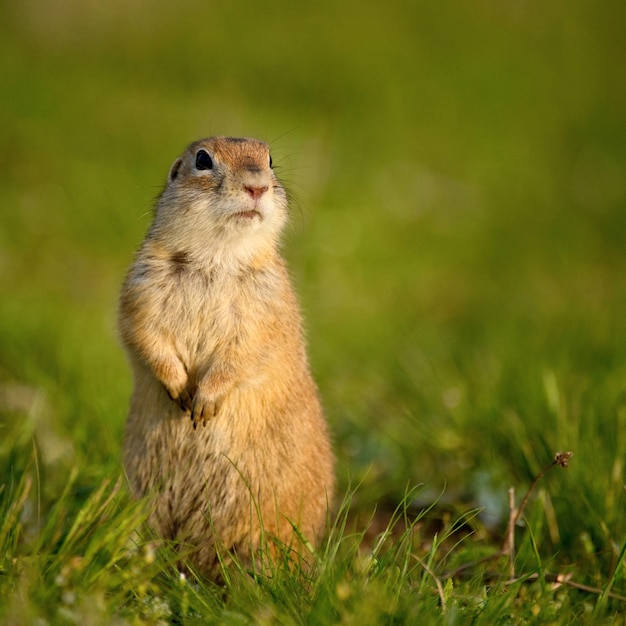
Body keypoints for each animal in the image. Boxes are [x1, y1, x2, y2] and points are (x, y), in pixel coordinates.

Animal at [117, 135, 332, 576]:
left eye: (269, 160)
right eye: (203, 160)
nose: (257, 186)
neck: (217, 257)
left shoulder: (268, 306)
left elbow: (246, 352)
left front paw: (204, 403)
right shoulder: (141, 288)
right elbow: (144, 333)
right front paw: (179, 390)